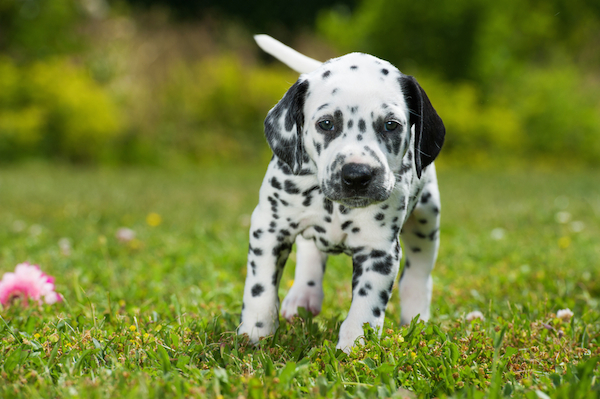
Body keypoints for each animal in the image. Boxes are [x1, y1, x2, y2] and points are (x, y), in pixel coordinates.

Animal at [239, 35, 446, 354]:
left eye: (391, 125)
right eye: (326, 123)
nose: (357, 175)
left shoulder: (378, 250)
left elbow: (366, 305)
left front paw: (355, 347)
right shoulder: (269, 228)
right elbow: (260, 287)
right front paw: (255, 332)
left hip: (426, 220)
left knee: (418, 275)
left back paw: (417, 318)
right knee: (310, 251)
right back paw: (303, 295)